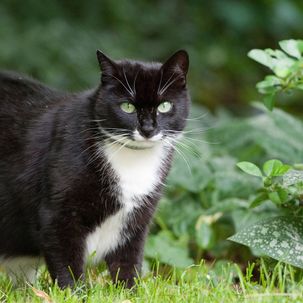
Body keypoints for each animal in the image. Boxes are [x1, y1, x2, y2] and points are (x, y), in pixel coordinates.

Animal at [0, 48, 190, 288]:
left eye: (165, 106)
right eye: (127, 106)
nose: (147, 129)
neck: (133, 160)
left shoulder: (138, 218)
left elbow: (128, 262)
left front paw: (130, 290)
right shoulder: (58, 214)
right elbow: (66, 261)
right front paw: (73, 292)